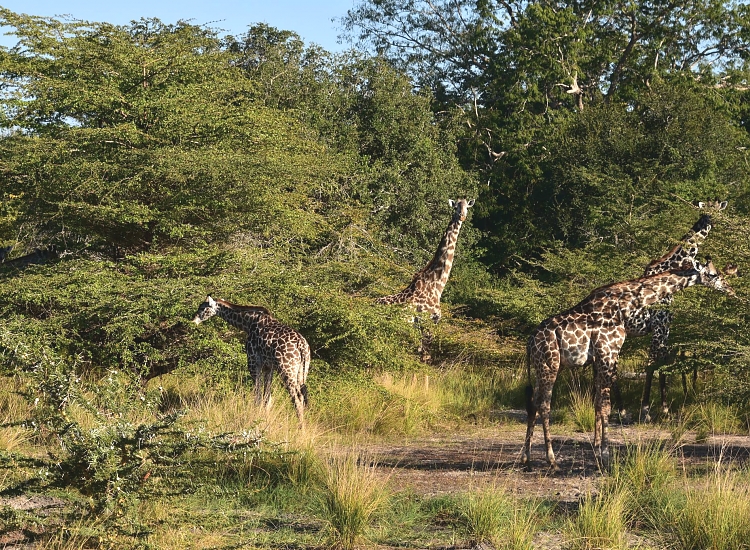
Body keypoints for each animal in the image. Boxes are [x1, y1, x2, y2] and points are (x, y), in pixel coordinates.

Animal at [376, 198, 475, 360]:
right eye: (455, 207)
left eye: (467, 207)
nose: (462, 216)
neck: (436, 284)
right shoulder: (429, 321)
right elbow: (425, 357)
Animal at [522, 260, 734, 470]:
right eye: (713, 274)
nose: (729, 288)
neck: (625, 304)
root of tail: (530, 342)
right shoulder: (608, 352)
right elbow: (606, 406)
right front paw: (606, 457)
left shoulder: (603, 357)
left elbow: (598, 403)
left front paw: (599, 451)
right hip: (550, 364)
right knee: (544, 405)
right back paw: (552, 460)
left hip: (540, 367)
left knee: (532, 403)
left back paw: (527, 458)